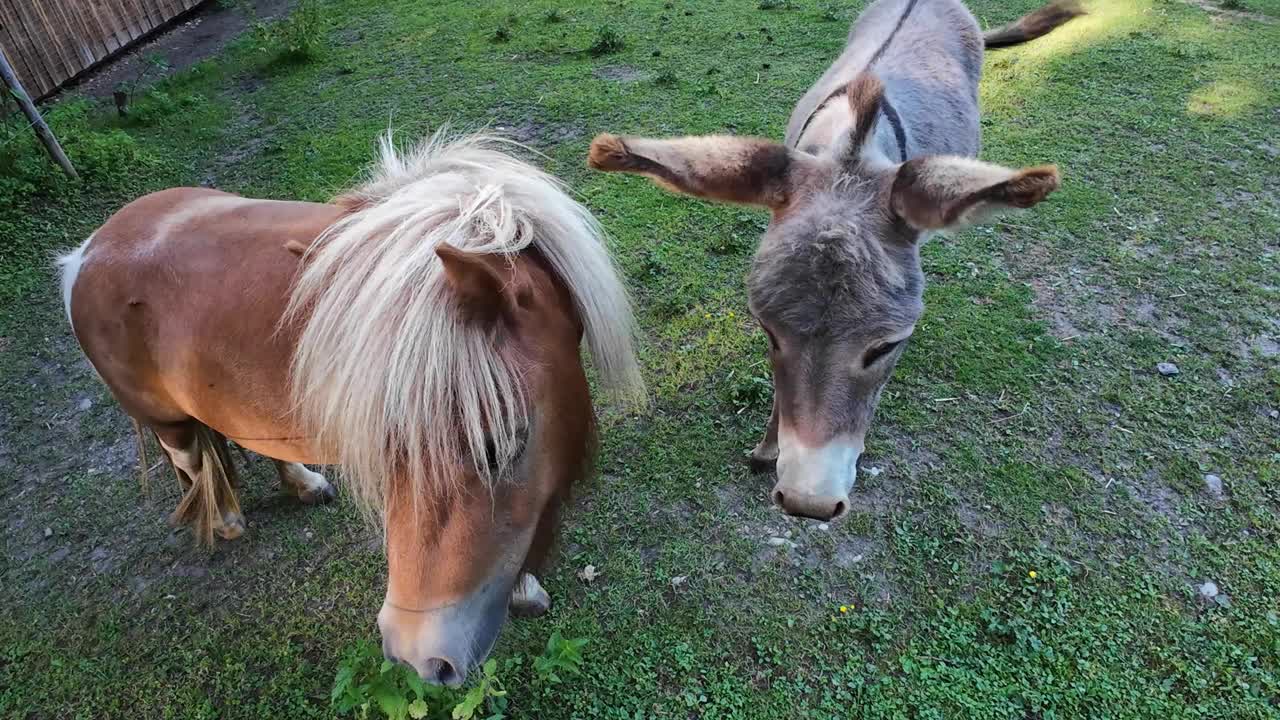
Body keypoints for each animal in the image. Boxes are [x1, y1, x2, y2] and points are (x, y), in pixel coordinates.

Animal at [56, 130, 645, 681]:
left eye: (502, 447)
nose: (417, 657)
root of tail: (84, 254)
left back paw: (303, 483)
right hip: (170, 423)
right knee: (193, 465)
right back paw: (226, 520)